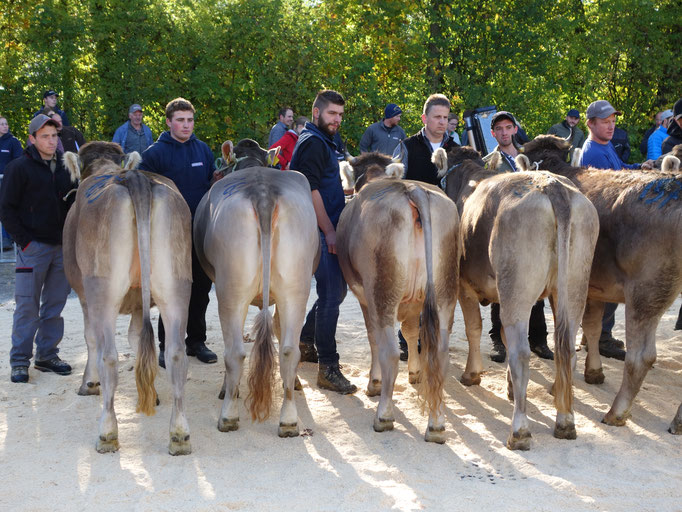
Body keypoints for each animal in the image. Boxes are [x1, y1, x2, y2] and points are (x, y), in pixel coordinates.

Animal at [62, 141, 193, 456]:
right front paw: (152, 395)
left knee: (108, 355)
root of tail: (134, 177)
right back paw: (179, 435)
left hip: (103, 291)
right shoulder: (137, 301)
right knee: (175, 353)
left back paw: (107, 433)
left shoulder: (84, 296)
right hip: (176, 285)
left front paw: (89, 383)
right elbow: (136, 339)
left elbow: (91, 340)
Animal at [191, 139, 318, 436]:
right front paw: (293, 382)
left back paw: (228, 415)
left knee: (235, 351)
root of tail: (262, 193)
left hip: (230, 290)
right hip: (296, 288)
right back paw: (288, 420)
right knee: (288, 349)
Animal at [334, 150, 456, 442]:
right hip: (444, 292)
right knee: (440, 353)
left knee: (388, 349)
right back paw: (436, 425)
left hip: (382, 292)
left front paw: (375, 383)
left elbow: (373, 339)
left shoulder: (365, 298)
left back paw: (384, 415)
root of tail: (413, 190)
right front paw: (415, 372)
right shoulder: (413, 302)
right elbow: (411, 333)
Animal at [432, 144, 596, 448]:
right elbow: (503, 337)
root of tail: (553, 185)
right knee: (565, 346)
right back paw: (564, 418)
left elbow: (475, 328)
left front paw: (472, 374)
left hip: (516, 289)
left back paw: (519, 431)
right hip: (573, 286)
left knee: (522, 352)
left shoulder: (464, 285)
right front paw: (509, 387)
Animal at [516, 134, 680, 434]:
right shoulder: (594, 288)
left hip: (646, 294)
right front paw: (594, 371)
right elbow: (591, 327)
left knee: (641, 357)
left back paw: (616, 412)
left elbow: (566, 334)